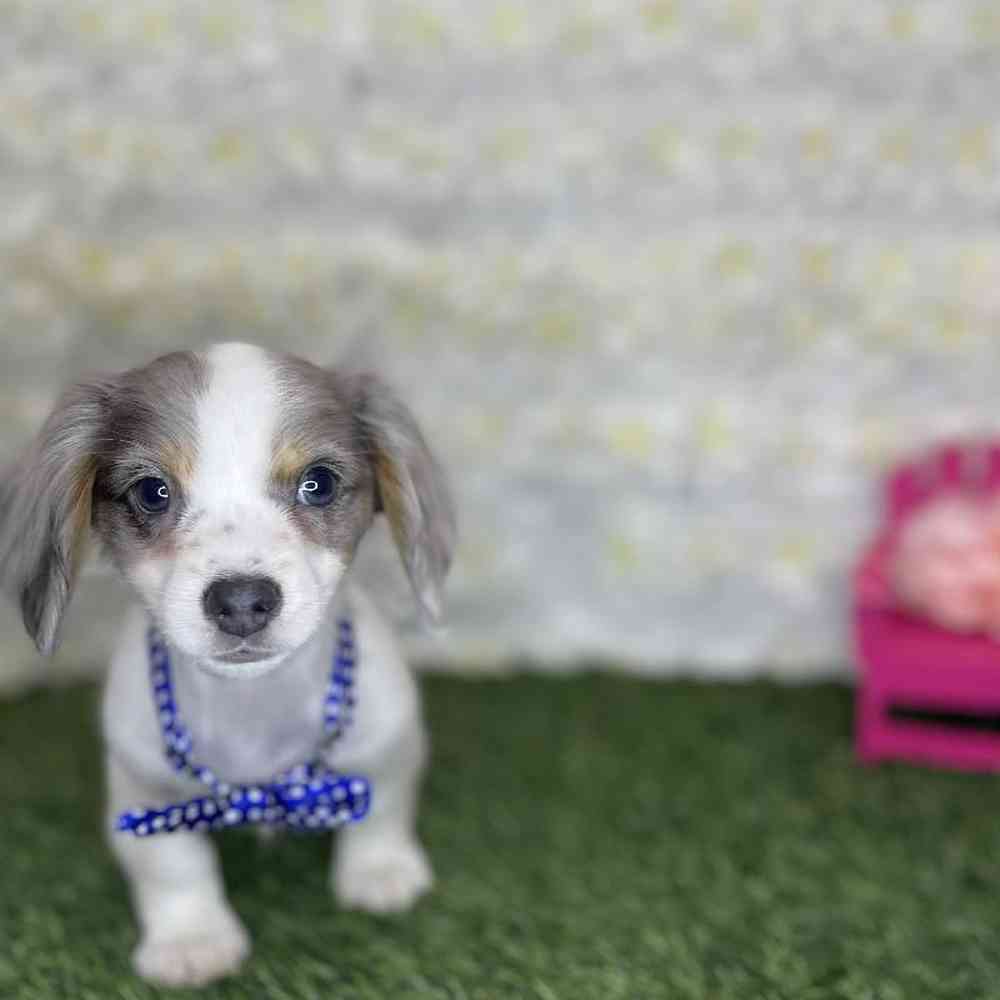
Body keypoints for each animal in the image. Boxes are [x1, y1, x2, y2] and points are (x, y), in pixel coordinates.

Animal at [0, 342, 456, 986]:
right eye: (152, 491)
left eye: (318, 483)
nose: (241, 601)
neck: (252, 711)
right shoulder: (141, 785)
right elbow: (171, 863)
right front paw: (192, 940)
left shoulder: (389, 735)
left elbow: (383, 804)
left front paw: (380, 872)